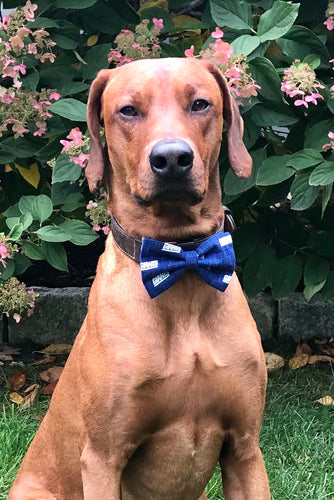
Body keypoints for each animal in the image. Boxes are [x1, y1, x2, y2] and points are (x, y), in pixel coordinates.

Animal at [8, 59, 272, 500]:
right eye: (128, 110)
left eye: (200, 103)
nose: (172, 158)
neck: (179, 259)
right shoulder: (103, 456)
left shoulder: (245, 449)